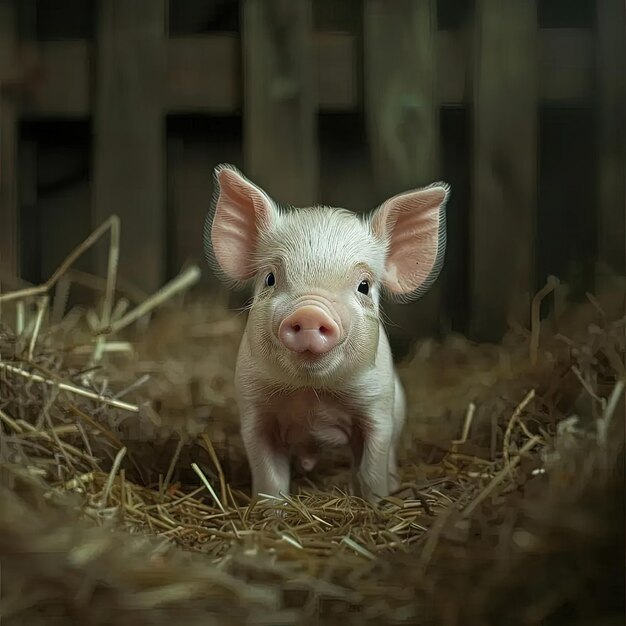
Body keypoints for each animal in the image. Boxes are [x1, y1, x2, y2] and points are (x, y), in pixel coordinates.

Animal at [206, 162, 448, 502]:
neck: (312, 395)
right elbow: (268, 476)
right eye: (270, 278)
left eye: (364, 285)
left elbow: (372, 468)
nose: (310, 312)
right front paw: (270, 509)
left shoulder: (377, 406)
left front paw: (376, 502)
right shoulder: (254, 408)